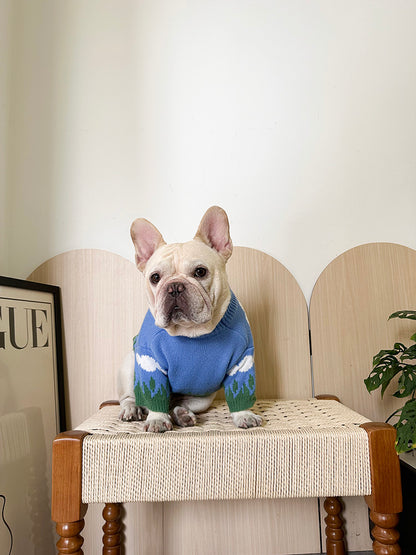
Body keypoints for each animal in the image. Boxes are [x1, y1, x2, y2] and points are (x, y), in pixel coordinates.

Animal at [117, 206, 262, 432]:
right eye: (155, 278)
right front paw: (157, 419)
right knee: (131, 398)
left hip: (202, 397)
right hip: (129, 365)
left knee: (176, 404)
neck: (191, 330)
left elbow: (241, 390)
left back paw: (182, 415)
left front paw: (244, 414)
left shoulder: (242, 361)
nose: (174, 287)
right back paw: (132, 409)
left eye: (200, 272)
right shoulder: (149, 361)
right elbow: (154, 397)